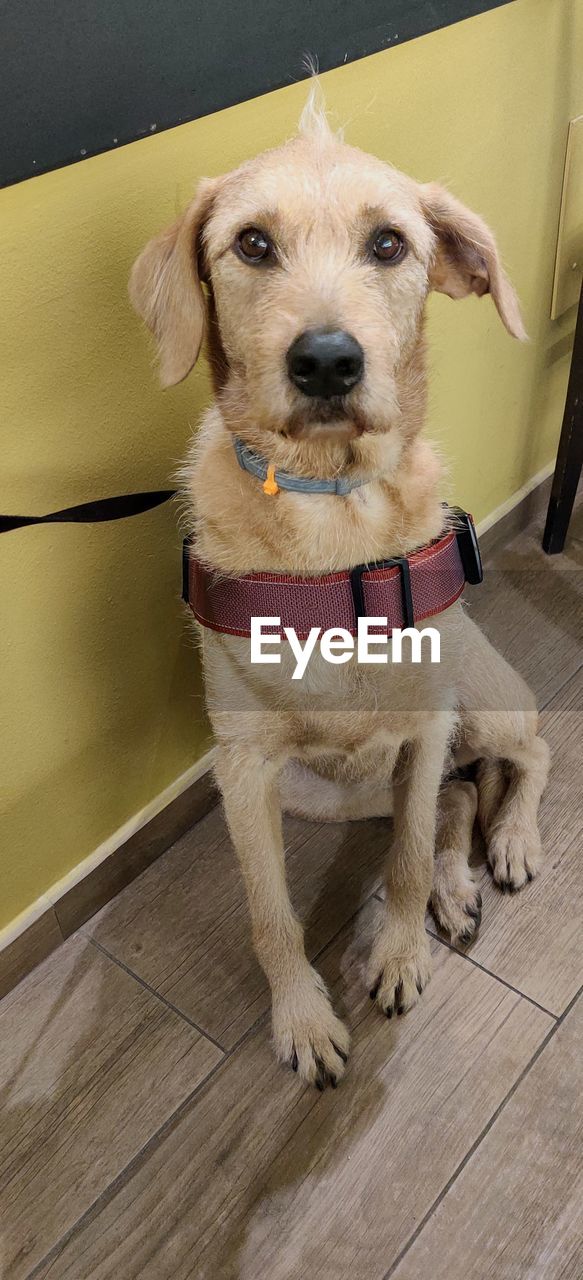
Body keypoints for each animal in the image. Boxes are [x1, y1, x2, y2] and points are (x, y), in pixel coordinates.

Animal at [128, 87, 553, 1090]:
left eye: (389, 244)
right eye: (250, 244)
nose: (326, 360)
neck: (329, 514)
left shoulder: (428, 725)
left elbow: (401, 859)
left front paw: (396, 954)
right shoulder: (245, 772)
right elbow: (270, 914)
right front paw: (303, 1020)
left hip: (481, 697)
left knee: (527, 757)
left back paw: (507, 846)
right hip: (321, 791)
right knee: (453, 800)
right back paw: (460, 880)